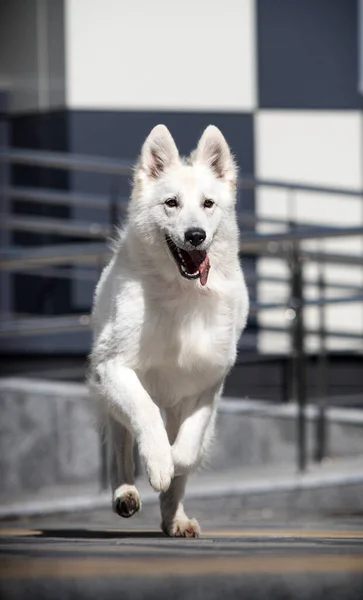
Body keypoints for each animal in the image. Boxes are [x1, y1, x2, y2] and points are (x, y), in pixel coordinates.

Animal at [88, 124, 249, 536]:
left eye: (208, 204)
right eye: (171, 203)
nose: (195, 236)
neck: (182, 293)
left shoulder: (208, 384)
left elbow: (188, 448)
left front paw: (173, 464)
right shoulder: (114, 368)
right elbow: (144, 412)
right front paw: (158, 464)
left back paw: (174, 518)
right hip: (108, 394)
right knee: (119, 446)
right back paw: (125, 493)